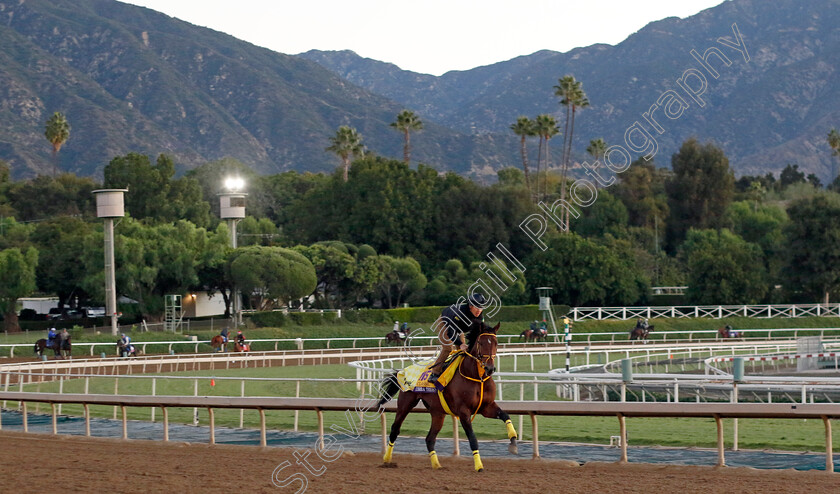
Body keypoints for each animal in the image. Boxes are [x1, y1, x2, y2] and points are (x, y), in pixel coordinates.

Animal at [376, 322, 520, 472]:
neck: (476, 377)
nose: (489, 368)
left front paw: (513, 443)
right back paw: (387, 459)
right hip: (406, 403)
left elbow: (505, 415)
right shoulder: (463, 412)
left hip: (437, 412)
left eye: (496, 343)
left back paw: (437, 465)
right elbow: (473, 439)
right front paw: (479, 465)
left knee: (430, 439)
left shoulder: (486, 407)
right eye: (481, 342)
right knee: (395, 430)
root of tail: (402, 371)